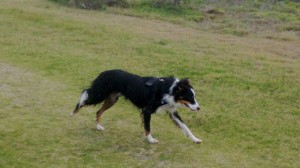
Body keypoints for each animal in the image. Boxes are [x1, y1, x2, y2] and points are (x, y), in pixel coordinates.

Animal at [70, 69, 202, 143]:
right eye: (190, 98)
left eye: (194, 97)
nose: (198, 108)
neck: (169, 90)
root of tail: (104, 72)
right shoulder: (147, 110)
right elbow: (148, 127)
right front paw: (151, 140)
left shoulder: (172, 112)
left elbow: (186, 128)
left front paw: (195, 139)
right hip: (99, 94)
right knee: (84, 96)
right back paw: (72, 113)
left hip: (112, 99)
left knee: (98, 111)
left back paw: (98, 126)